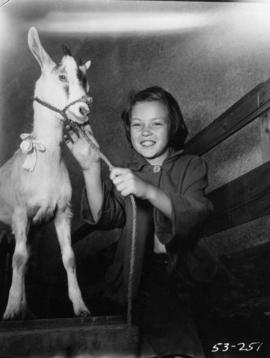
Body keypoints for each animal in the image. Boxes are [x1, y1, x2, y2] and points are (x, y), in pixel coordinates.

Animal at [0, 27, 92, 318]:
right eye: (62, 76)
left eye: (84, 80)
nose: (83, 110)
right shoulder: (20, 213)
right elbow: (18, 259)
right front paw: (9, 311)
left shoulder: (61, 212)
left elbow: (68, 258)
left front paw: (81, 307)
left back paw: (27, 309)